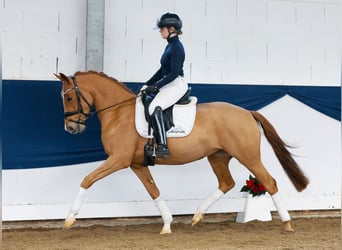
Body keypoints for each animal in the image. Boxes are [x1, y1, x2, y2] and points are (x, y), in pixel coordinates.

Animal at [55, 71, 308, 234]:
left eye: (69, 97)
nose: (71, 129)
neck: (119, 113)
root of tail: (247, 112)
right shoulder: (137, 164)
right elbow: (153, 191)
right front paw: (167, 225)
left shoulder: (118, 159)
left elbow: (87, 179)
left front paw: (69, 219)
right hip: (217, 156)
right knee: (226, 183)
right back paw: (197, 216)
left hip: (248, 156)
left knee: (269, 181)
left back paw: (287, 224)